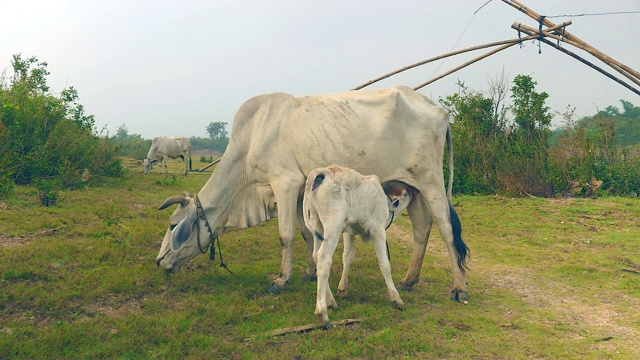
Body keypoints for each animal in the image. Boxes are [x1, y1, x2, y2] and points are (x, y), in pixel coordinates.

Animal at [156, 86, 470, 304]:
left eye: (173, 225)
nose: (159, 262)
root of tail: (437, 109)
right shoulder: (299, 192)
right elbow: (307, 234)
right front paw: (309, 272)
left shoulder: (285, 182)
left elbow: (285, 235)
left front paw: (281, 280)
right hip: (412, 186)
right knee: (422, 228)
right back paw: (409, 279)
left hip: (431, 180)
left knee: (445, 228)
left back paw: (459, 288)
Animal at [302, 165, 412, 328]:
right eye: (404, 194)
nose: (411, 192)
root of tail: (323, 172)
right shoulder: (378, 231)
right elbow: (384, 264)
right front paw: (396, 299)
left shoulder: (349, 232)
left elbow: (347, 257)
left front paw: (342, 288)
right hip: (332, 227)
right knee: (323, 259)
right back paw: (322, 312)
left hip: (317, 225)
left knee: (316, 255)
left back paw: (331, 301)